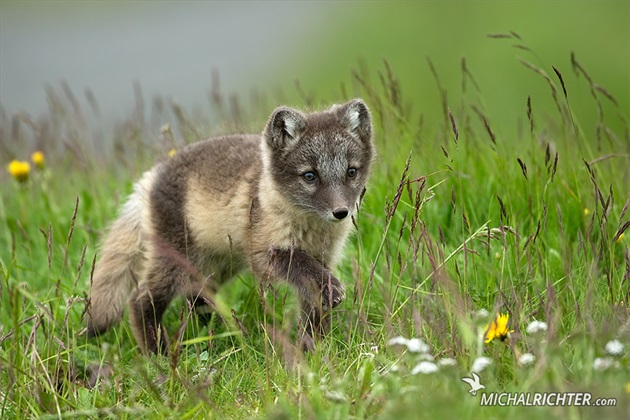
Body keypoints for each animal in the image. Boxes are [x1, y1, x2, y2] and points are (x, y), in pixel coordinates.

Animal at [88, 99, 376, 354]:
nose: (341, 212)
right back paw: (156, 353)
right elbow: (302, 266)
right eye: (310, 176)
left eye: (351, 171)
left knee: (195, 296)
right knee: (140, 299)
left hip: (216, 265)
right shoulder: (262, 252)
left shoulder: (324, 258)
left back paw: (218, 331)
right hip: (175, 259)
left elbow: (313, 306)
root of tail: (150, 177)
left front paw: (313, 349)